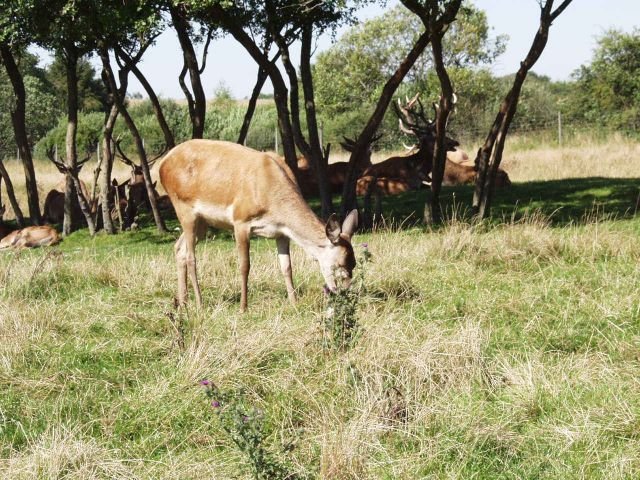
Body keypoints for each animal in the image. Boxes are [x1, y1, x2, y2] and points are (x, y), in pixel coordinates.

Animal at [159, 139, 360, 312]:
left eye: (354, 263)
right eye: (340, 263)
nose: (345, 293)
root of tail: (162, 165)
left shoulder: (282, 232)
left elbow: (287, 267)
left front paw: (294, 302)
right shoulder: (240, 221)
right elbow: (244, 266)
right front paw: (243, 308)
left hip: (203, 222)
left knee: (179, 248)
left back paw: (183, 303)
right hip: (184, 209)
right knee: (191, 256)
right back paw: (199, 304)